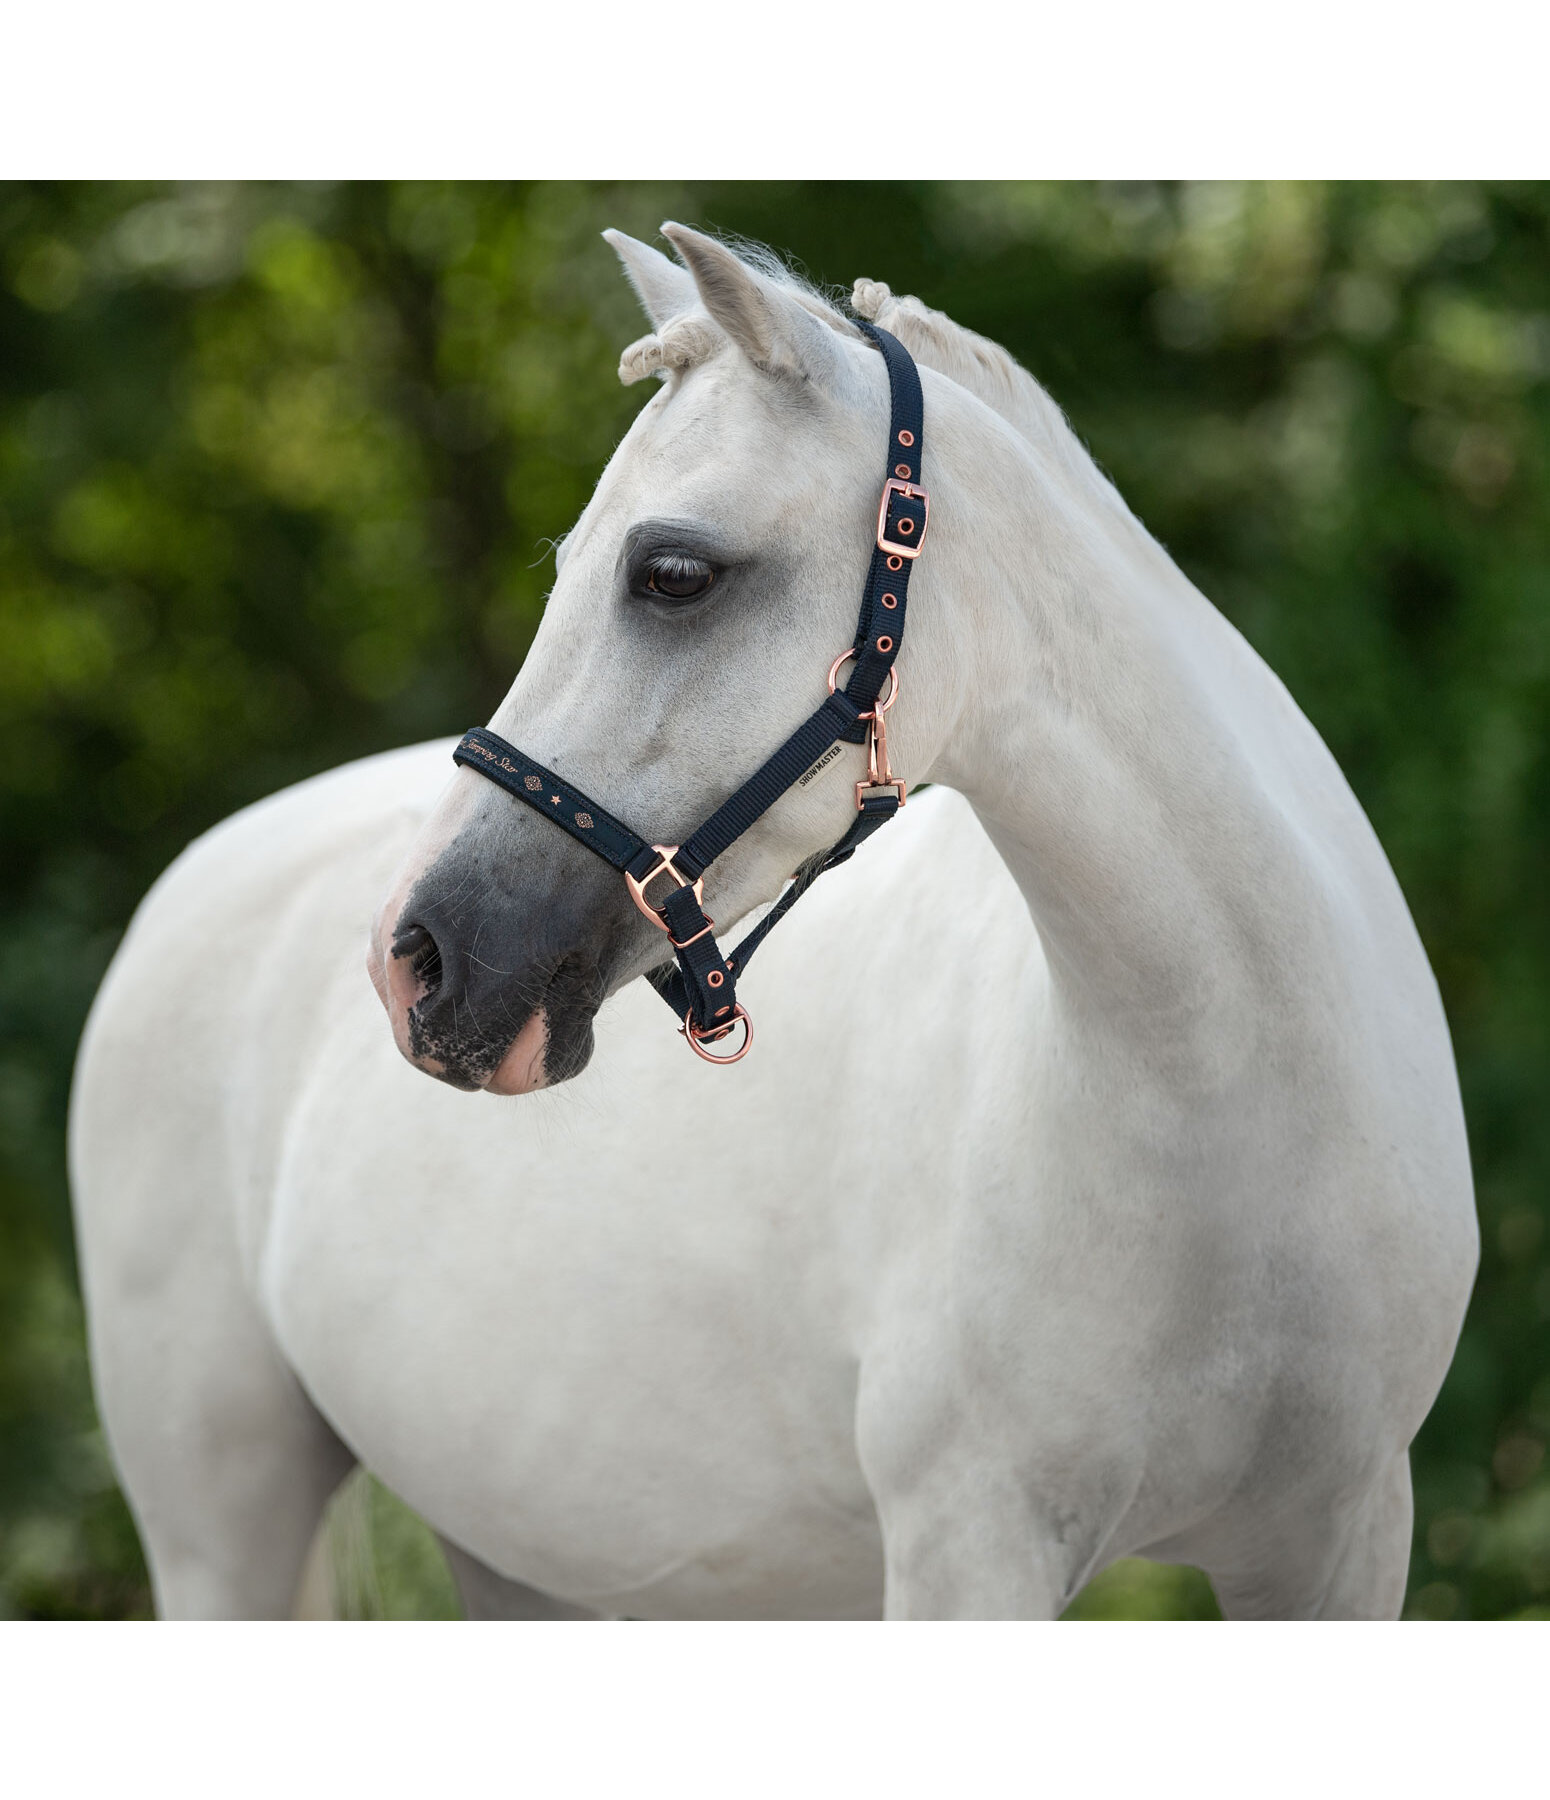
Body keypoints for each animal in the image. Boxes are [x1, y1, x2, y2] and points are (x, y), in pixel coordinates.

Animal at [72, 225, 1476, 1620]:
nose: (412, 962)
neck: (1227, 1111)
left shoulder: (1340, 1542)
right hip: (220, 1534)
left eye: (672, 574)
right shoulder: (969, 1549)